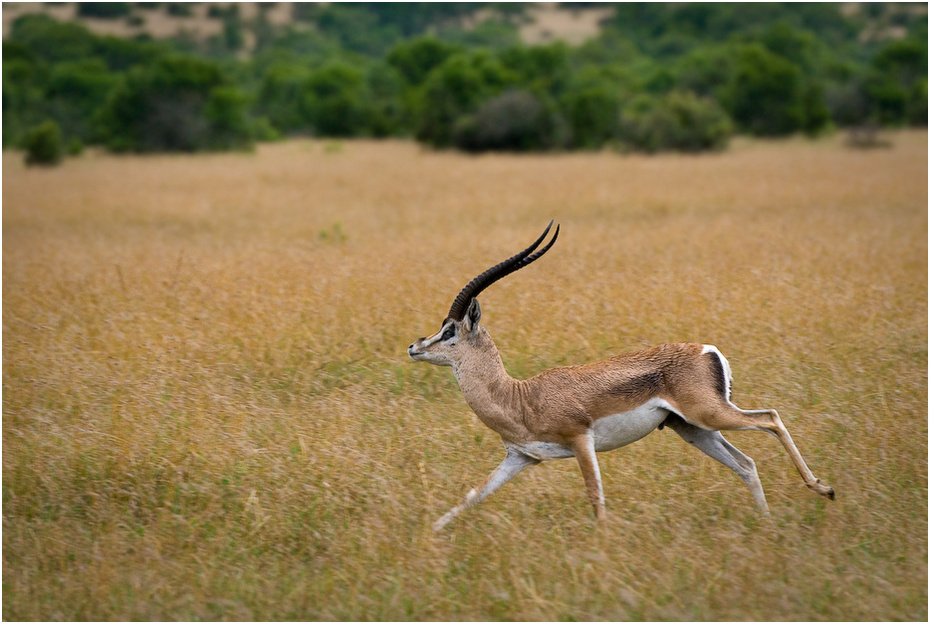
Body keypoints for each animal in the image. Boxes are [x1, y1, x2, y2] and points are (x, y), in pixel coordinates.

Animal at [406, 222, 832, 528]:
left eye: (450, 331)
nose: (414, 346)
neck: (519, 399)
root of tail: (707, 350)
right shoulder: (520, 457)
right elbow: (472, 495)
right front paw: (430, 535)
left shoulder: (581, 440)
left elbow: (596, 497)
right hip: (692, 428)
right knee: (746, 464)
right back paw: (767, 522)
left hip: (708, 415)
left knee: (770, 418)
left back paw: (823, 488)